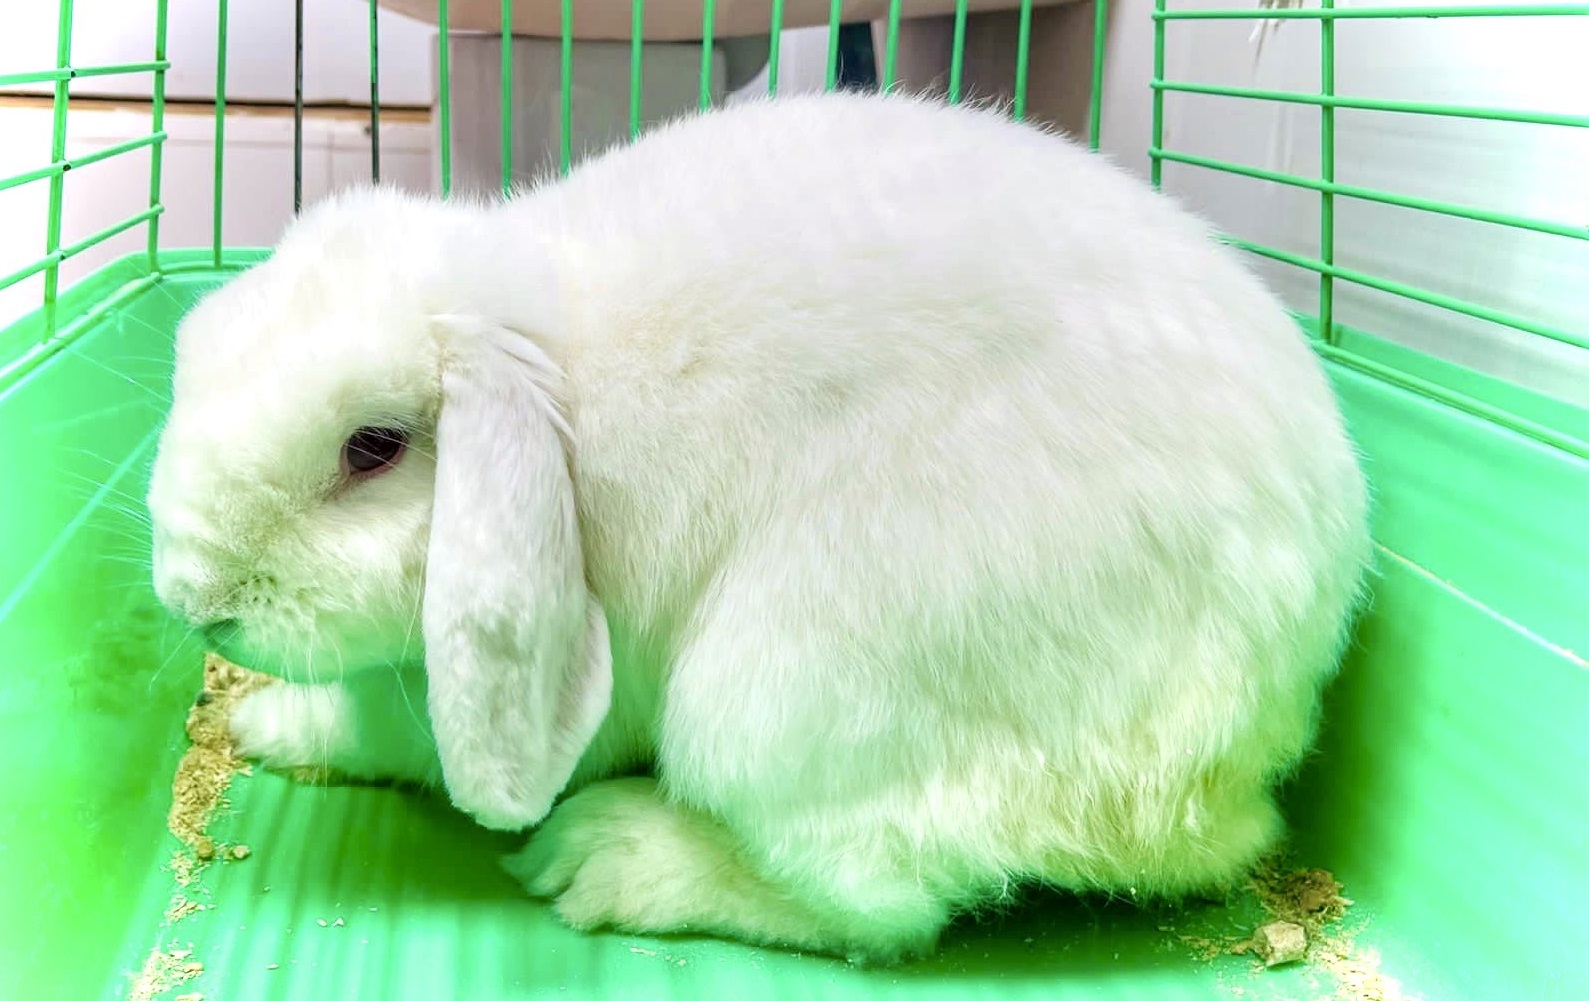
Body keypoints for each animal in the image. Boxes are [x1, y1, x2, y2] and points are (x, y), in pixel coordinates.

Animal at [146, 90, 1372, 965]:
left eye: (373, 448)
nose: (193, 600)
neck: (561, 386)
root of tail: (1229, 776)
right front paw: (258, 715)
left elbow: (394, 736)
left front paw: (266, 722)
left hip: (778, 695)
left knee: (878, 905)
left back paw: (607, 858)